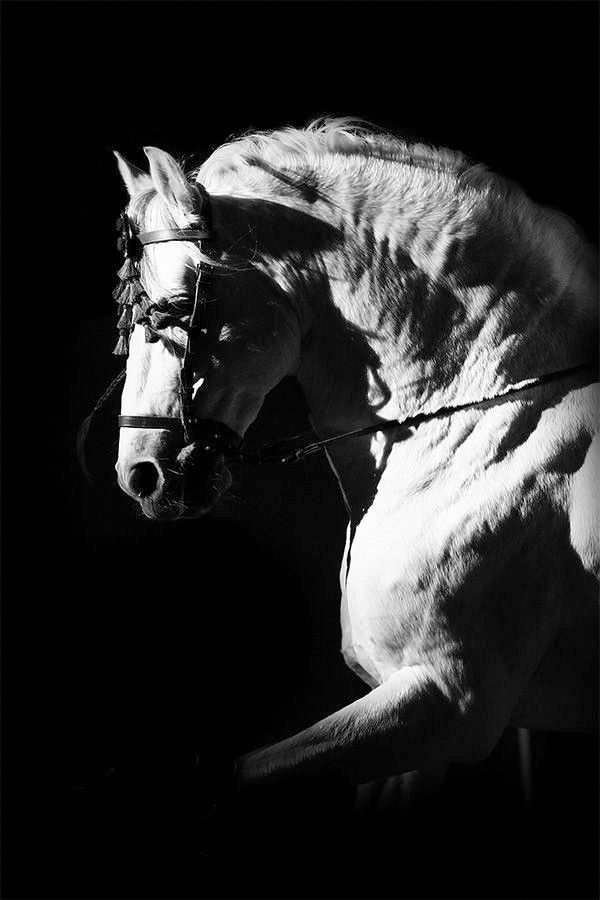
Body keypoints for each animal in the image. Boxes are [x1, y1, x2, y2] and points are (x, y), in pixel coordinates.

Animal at [111, 119, 598, 803]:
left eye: (180, 309)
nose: (141, 476)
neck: (485, 421)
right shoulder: (409, 722)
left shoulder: (445, 706)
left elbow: (236, 776)